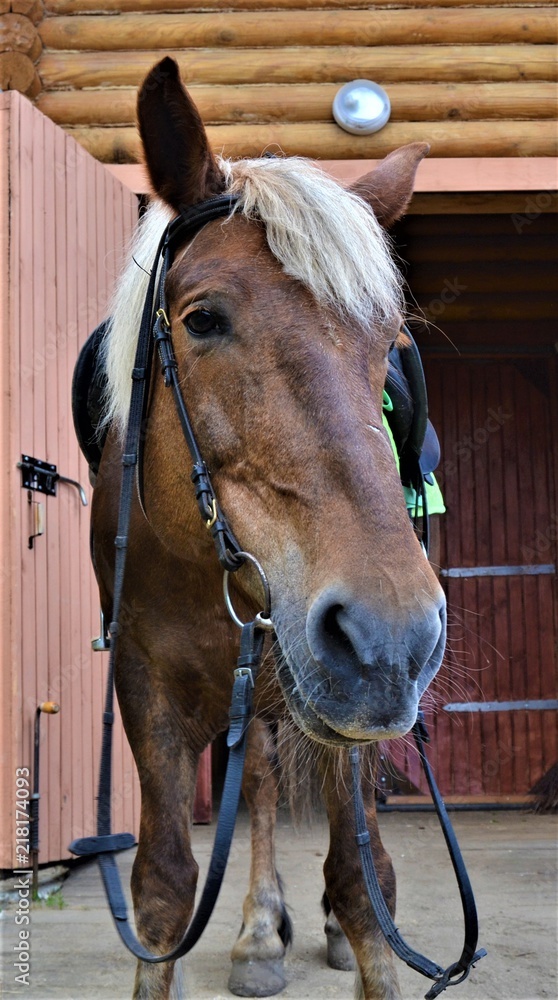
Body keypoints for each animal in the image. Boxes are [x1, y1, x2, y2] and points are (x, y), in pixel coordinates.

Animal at [87, 56, 446, 1000]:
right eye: (203, 319)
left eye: (388, 344)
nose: (391, 633)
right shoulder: (144, 681)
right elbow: (164, 888)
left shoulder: (343, 703)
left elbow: (363, 882)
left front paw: (342, 925)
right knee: (257, 791)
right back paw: (258, 933)